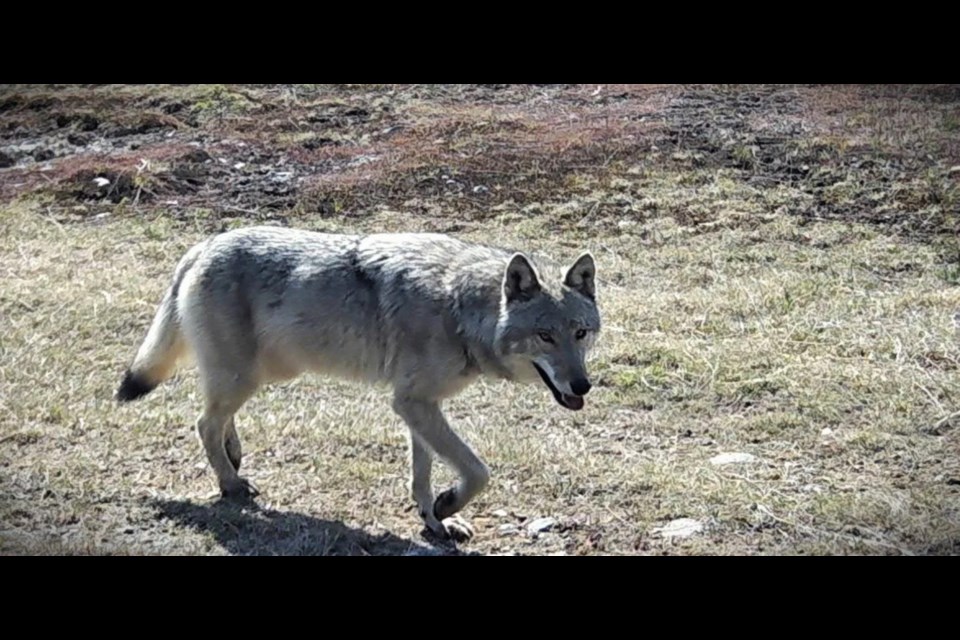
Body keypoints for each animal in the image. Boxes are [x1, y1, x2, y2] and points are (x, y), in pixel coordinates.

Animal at [116, 225, 604, 540]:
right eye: (545, 336)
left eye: (581, 333)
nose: (582, 386)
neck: (458, 308)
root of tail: (203, 245)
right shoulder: (411, 404)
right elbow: (477, 470)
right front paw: (447, 505)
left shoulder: (420, 405)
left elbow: (423, 475)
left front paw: (436, 521)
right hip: (246, 376)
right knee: (204, 423)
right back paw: (231, 485)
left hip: (260, 374)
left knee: (218, 420)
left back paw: (235, 461)